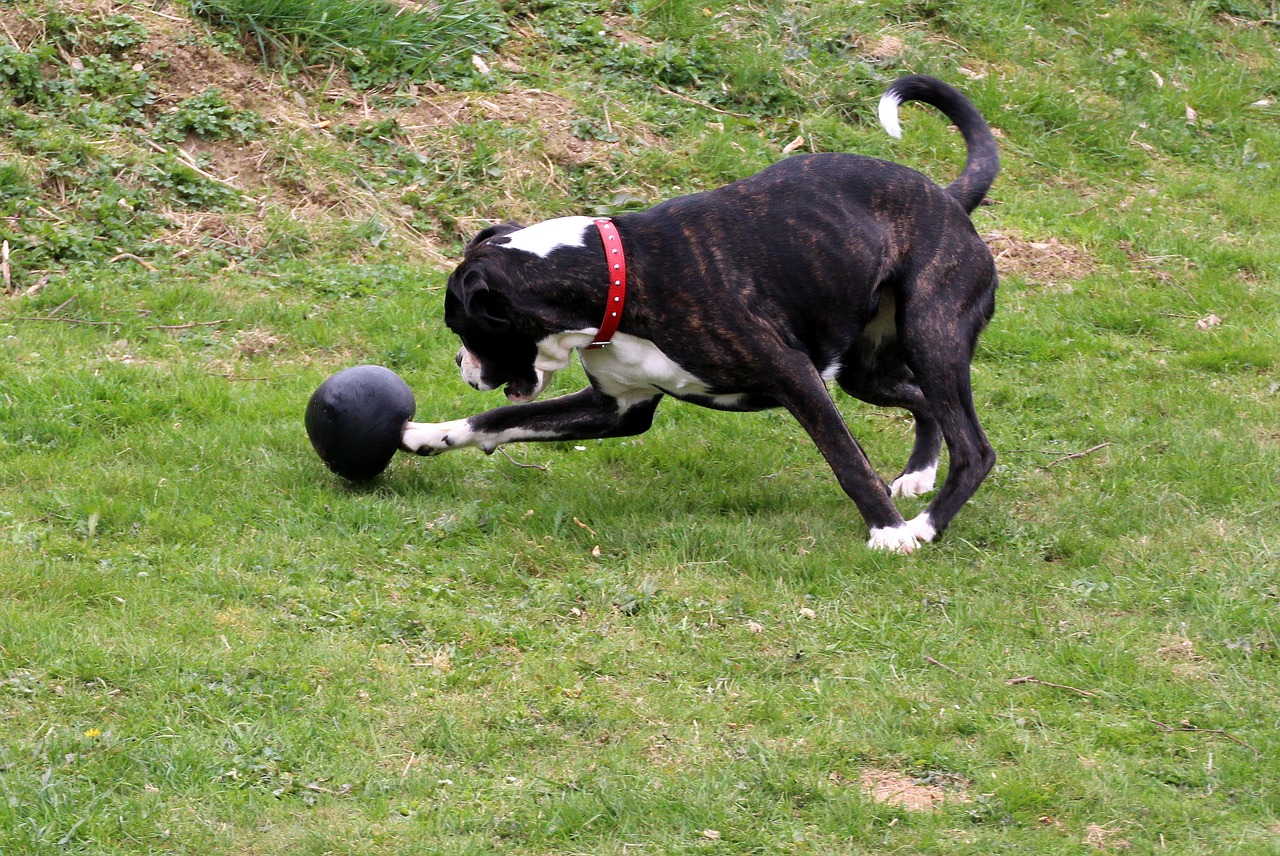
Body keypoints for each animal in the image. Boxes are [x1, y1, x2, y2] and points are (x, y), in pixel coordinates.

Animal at [404, 76, 1003, 550]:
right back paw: (919, 475)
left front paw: (887, 531)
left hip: (930, 337)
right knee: (923, 402)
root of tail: (949, 200)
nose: (459, 363)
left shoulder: (797, 378)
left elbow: (847, 460)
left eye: (461, 325)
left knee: (974, 449)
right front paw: (431, 435)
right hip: (867, 369)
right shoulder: (617, 409)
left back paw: (923, 526)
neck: (613, 275)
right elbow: (499, 420)